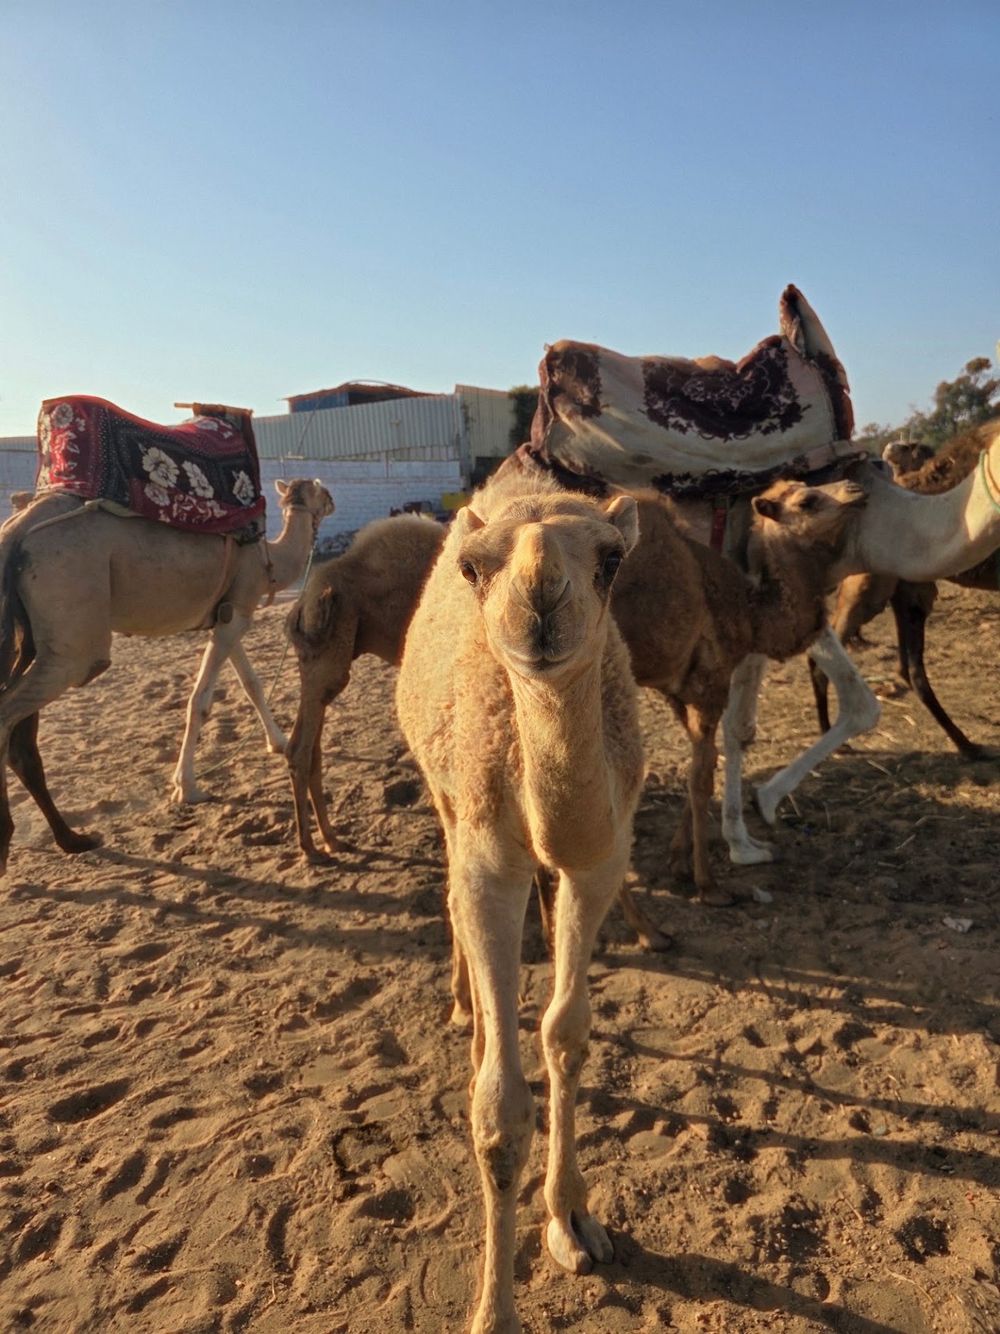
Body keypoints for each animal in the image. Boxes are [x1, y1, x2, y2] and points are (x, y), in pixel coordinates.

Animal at [0, 477, 333, 871]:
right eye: (321, 492)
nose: (331, 501)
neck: (270, 559)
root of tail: (17, 529)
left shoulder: (227, 616)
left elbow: (252, 684)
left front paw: (277, 742)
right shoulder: (236, 613)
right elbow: (200, 702)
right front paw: (186, 787)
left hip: (30, 635)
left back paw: (72, 839)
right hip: (74, 633)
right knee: (16, 710)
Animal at [284, 513, 445, 862]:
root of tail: (302, 603)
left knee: (307, 749)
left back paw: (331, 840)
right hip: (329, 656)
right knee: (302, 750)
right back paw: (311, 848)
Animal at [396, 469, 643, 1333]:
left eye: (611, 558)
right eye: (473, 569)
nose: (541, 600)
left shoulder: (601, 861)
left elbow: (566, 1032)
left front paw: (572, 1220)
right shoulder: (488, 859)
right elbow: (500, 1117)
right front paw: (492, 1312)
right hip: (442, 792)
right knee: (450, 899)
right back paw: (467, 1015)